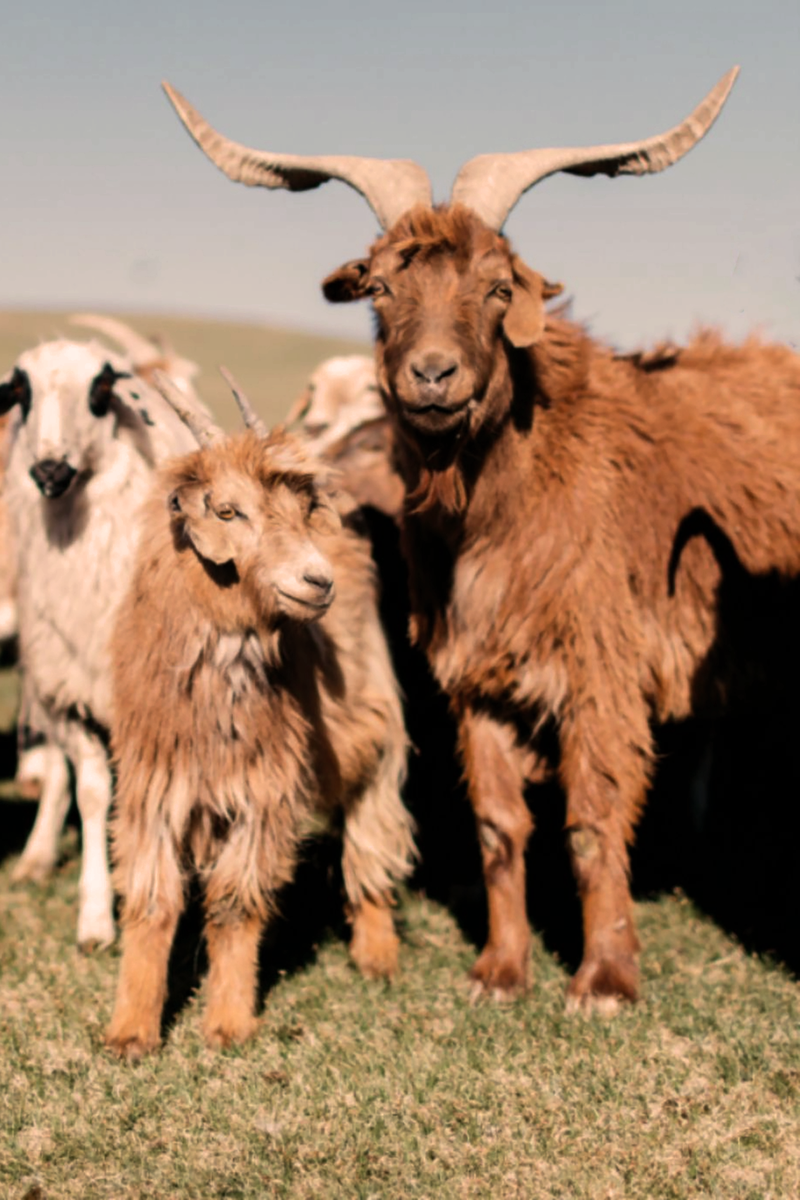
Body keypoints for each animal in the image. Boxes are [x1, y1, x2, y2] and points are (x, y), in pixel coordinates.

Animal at [1, 334, 202, 947]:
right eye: (21, 392)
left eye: (99, 390)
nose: (49, 469)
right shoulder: (70, 690)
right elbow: (91, 792)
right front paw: (95, 916)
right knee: (57, 772)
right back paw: (38, 855)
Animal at [105, 376, 415, 1058]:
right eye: (227, 511)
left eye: (300, 512)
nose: (317, 581)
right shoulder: (152, 787)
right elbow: (152, 901)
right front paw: (131, 1031)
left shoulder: (262, 792)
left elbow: (235, 904)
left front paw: (228, 1023)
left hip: (373, 723)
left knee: (371, 821)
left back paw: (378, 952)